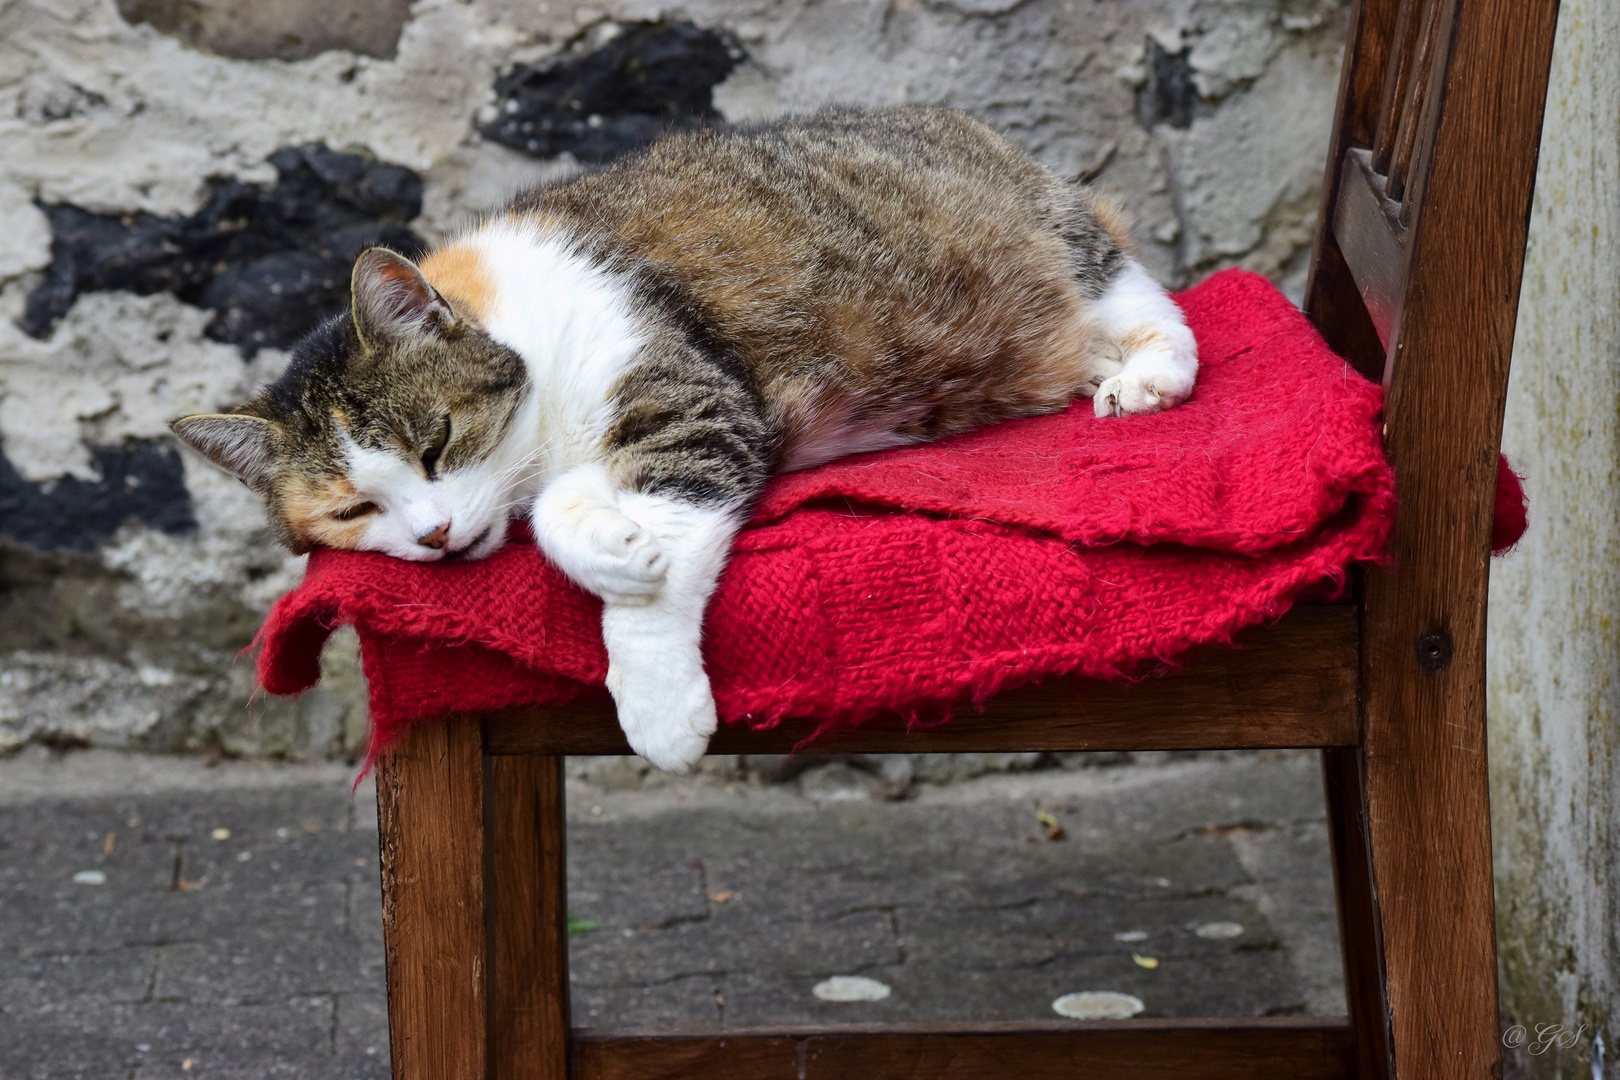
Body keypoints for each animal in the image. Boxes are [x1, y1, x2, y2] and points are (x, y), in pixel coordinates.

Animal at [170, 107, 1198, 767]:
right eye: (353, 510)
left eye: (438, 442)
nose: (433, 536)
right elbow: (565, 511)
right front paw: (609, 545)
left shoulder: (696, 401)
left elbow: (660, 533)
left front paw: (659, 703)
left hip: (1058, 250)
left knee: (1143, 298)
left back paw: (1144, 372)